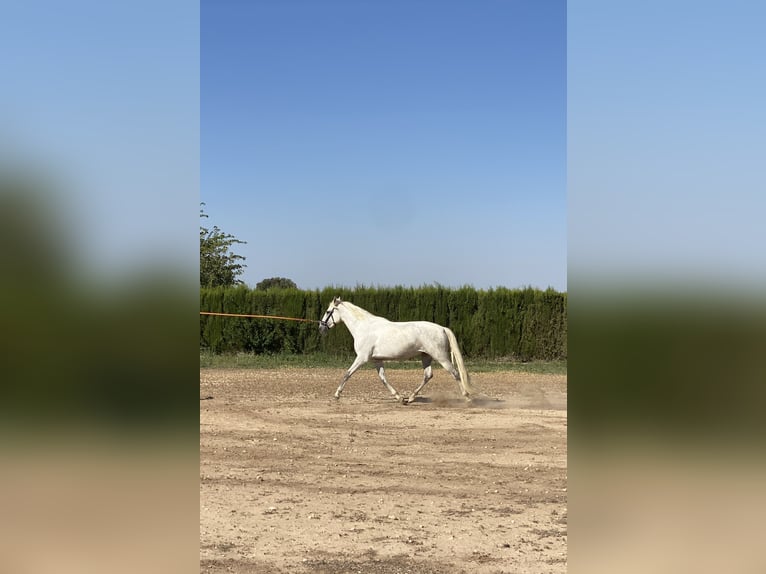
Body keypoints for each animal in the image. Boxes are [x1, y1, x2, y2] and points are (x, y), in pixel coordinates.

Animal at [318, 296, 474, 404]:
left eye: (327, 311)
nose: (321, 328)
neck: (364, 328)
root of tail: (442, 328)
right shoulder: (376, 360)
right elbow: (383, 378)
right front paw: (399, 397)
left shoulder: (362, 358)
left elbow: (347, 374)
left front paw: (337, 395)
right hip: (426, 356)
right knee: (428, 375)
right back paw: (410, 398)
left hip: (441, 356)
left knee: (455, 373)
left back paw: (467, 398)